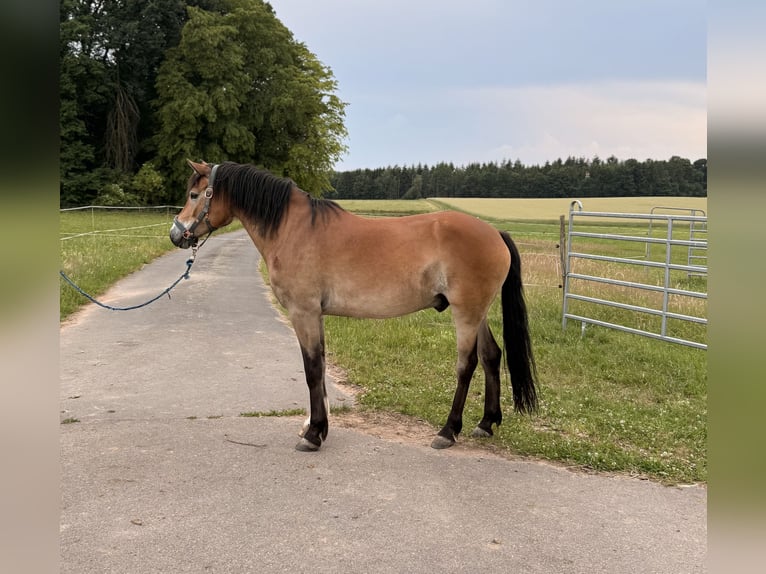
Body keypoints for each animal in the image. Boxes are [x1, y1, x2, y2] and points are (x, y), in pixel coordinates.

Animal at [170, 160, 537, 451]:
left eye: (194, 195)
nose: (176, 235)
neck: (293, 229)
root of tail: (495, 232)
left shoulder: (303, 313)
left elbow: (312, 369)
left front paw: (313, 435)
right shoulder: (315, 315)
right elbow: (320, 364)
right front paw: (317, 427)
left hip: (466, 313)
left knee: (468, 364)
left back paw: (448, 431)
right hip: (479, 313)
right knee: (491, 356)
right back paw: (486, 423)